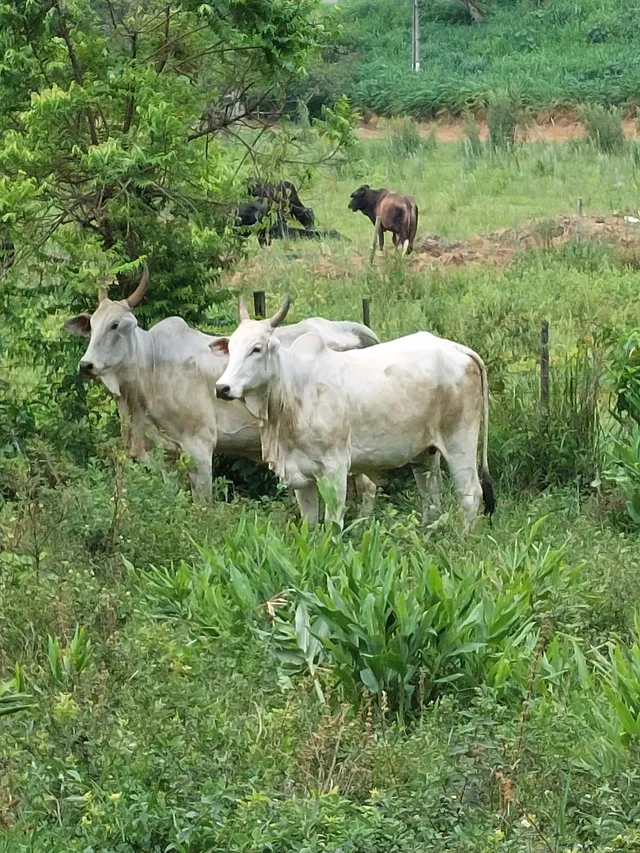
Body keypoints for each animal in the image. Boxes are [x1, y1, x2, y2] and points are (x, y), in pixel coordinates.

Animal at [64, 267, 380, 509]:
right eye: (92, 325)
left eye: (115, 325)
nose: (86, 365)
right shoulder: (164, 453)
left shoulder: (200, 446)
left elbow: (203, 503)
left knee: (367, 487)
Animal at [215, 297, 494, 531]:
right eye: (231, 348)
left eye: (256, 348)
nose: (222, 388)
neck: (293, 390)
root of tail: (457, 349)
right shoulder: (301, 477)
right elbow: (310, 523)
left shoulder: (335, 468)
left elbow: (333, 521)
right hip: (425, 452)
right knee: (430, 494)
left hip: (459, 441)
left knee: (470, 494)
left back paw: (463, 540)